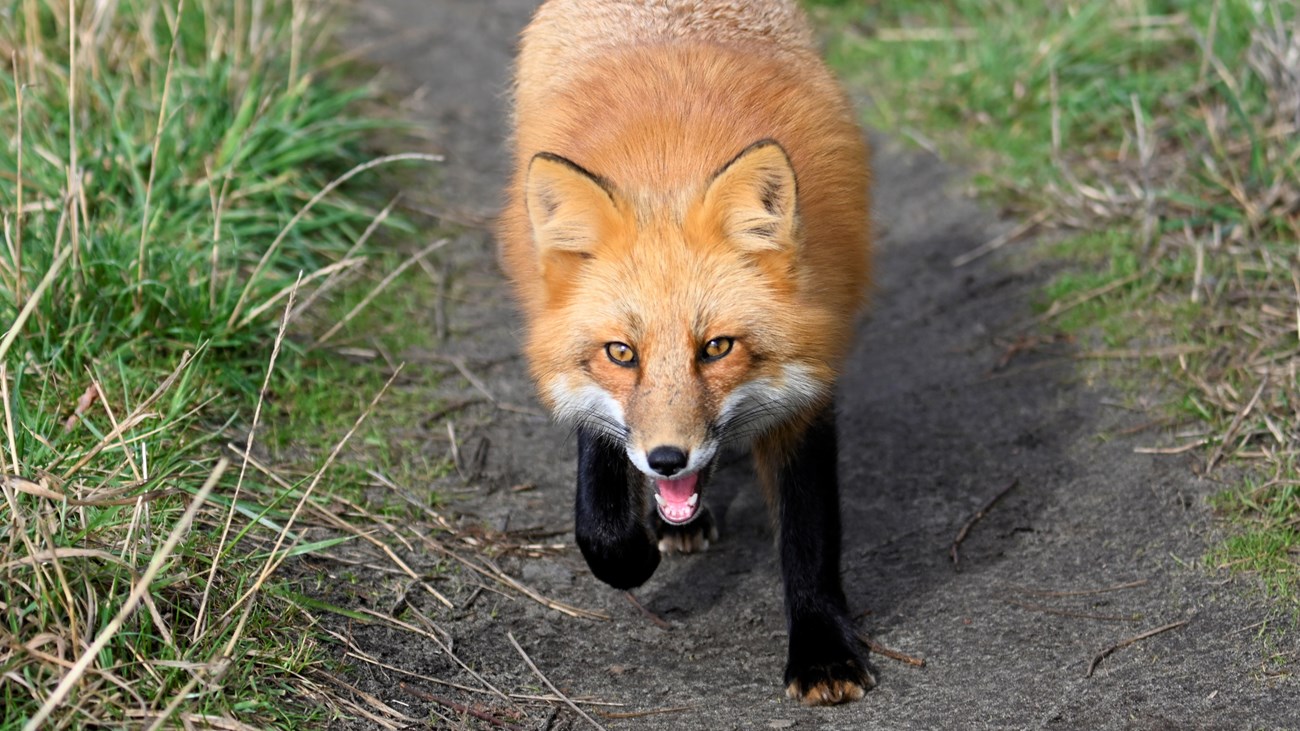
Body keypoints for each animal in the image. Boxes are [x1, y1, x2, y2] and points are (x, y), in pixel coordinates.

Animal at [496, 0, 873, 702]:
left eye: (717, 348)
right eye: (621, 353)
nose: (667, 459)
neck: (669, 166)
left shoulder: (807, 384)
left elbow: (810, 535)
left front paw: (823, 650)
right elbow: (599, 509)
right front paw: (631, 551)